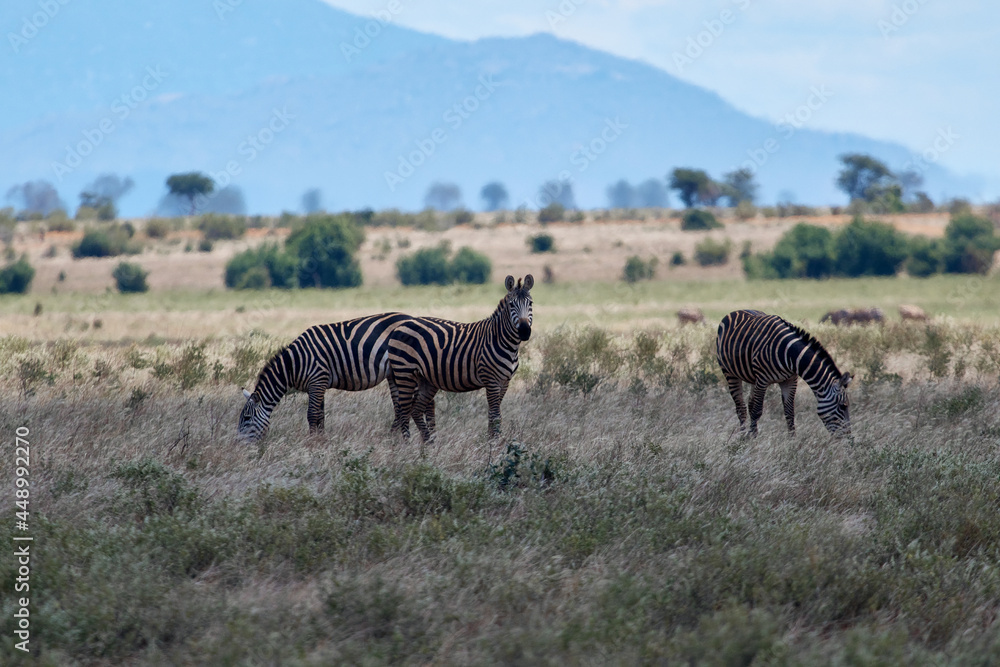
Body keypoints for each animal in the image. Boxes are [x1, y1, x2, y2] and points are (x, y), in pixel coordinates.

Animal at [237, 312, 414, 442]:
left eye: (246, 418)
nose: (239, 448)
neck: (294, 364)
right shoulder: (317, 385)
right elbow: (320, 415)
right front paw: (321, 440)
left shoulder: (317, 380)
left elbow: (312, 415)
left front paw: (312, 442)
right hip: (393, 373)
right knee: (399, 408)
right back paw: (391, 438)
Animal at [387, 274, 534, 442]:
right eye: (511, 305)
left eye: (530, 303)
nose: (524, 331)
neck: (503, 342)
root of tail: (400, 325)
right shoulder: (491, 380)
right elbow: (496, 416)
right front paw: (494, 445)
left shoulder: (504, 382)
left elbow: (493, 415)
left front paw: (491, 442)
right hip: (404, 373)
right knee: (404, 412)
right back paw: (407, 445)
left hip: (426, 379)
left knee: (415, 411)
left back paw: (429, 444)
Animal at [715, 309, 852, 436]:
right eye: (843, 406)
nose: (849, 439)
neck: (789, 354)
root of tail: (737, 311)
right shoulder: (762, 380)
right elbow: (757, 411)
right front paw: (752, 439)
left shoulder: (790, 380)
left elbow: (789, 413)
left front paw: (792, 441)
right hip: (730, 373)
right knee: (741, 408)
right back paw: (742, 436)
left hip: (753, 378)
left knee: (750, 404)